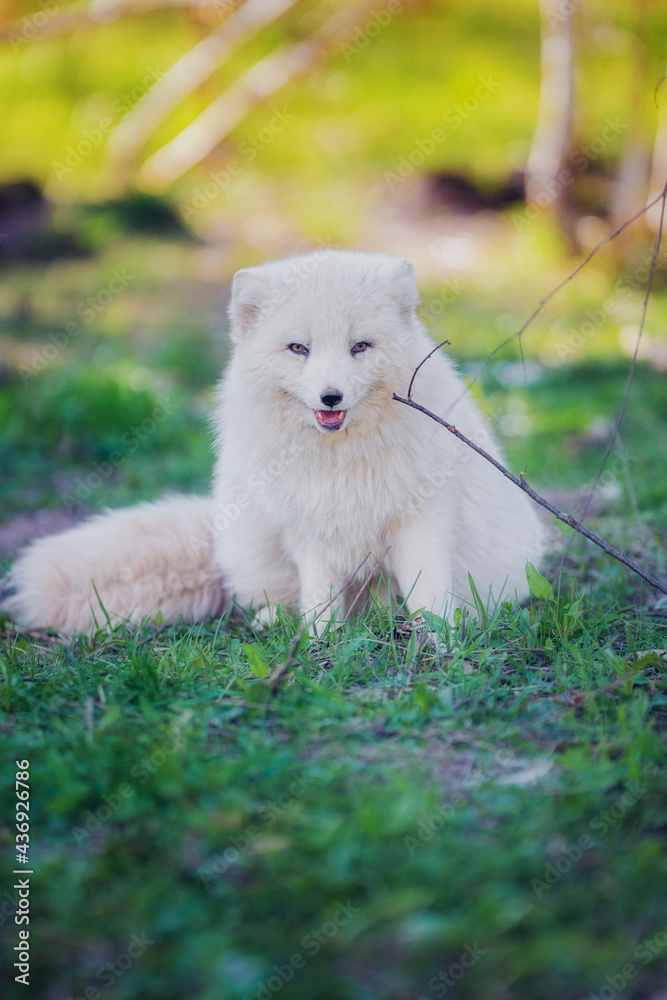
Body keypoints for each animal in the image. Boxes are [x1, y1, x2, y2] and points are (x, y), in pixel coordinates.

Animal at [3, 249, 543, 634]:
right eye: (298, 348)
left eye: (360, 346)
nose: (330, 397)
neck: (341, 461)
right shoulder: (307, 530)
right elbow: (320, 602)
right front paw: (321, 647)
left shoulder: (422, 519)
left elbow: (428, 595)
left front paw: (443, 646)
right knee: (273, 598)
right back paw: (277, 622)